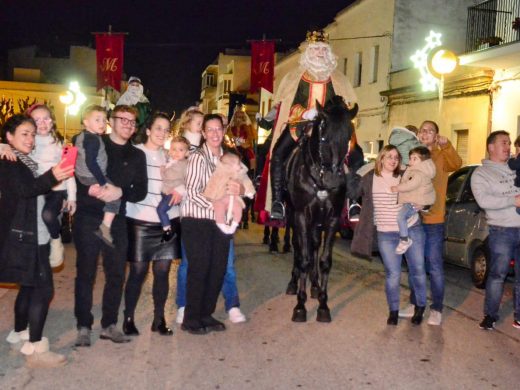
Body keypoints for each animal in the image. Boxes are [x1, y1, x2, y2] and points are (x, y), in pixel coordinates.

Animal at [284, 96, 358, 322]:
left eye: (348, 137)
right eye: (323, 136)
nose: (334, 180)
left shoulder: (332, 219)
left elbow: (324, 260)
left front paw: (323, 304)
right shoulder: (301, 216)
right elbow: (304, 258)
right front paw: (300, 305)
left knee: (315, 245)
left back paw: (315, 286)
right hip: (293, 216)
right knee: (298, 247)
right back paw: (293, 283)